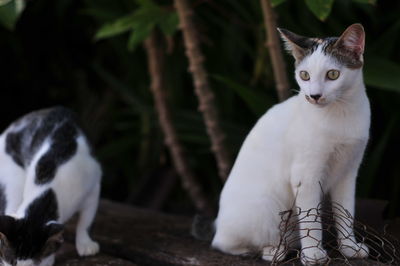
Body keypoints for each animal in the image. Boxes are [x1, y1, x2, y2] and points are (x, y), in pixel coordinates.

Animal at [0, 107, 101, 266]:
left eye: (33, 264)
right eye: (12, 261)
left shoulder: (93, 184)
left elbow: (87, 221)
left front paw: (85, 243)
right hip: (12, 175)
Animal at [211, 23, 370, 264]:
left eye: (333, 74)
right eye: (304, 75)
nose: (314, 95)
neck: (341, 113)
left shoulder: (348, 172)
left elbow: (345, 213)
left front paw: (350, 248)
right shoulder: (306, 177)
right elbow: (311, 219)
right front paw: (313, 254)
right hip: (264, 208)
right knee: (229, 245)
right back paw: (273, 250)